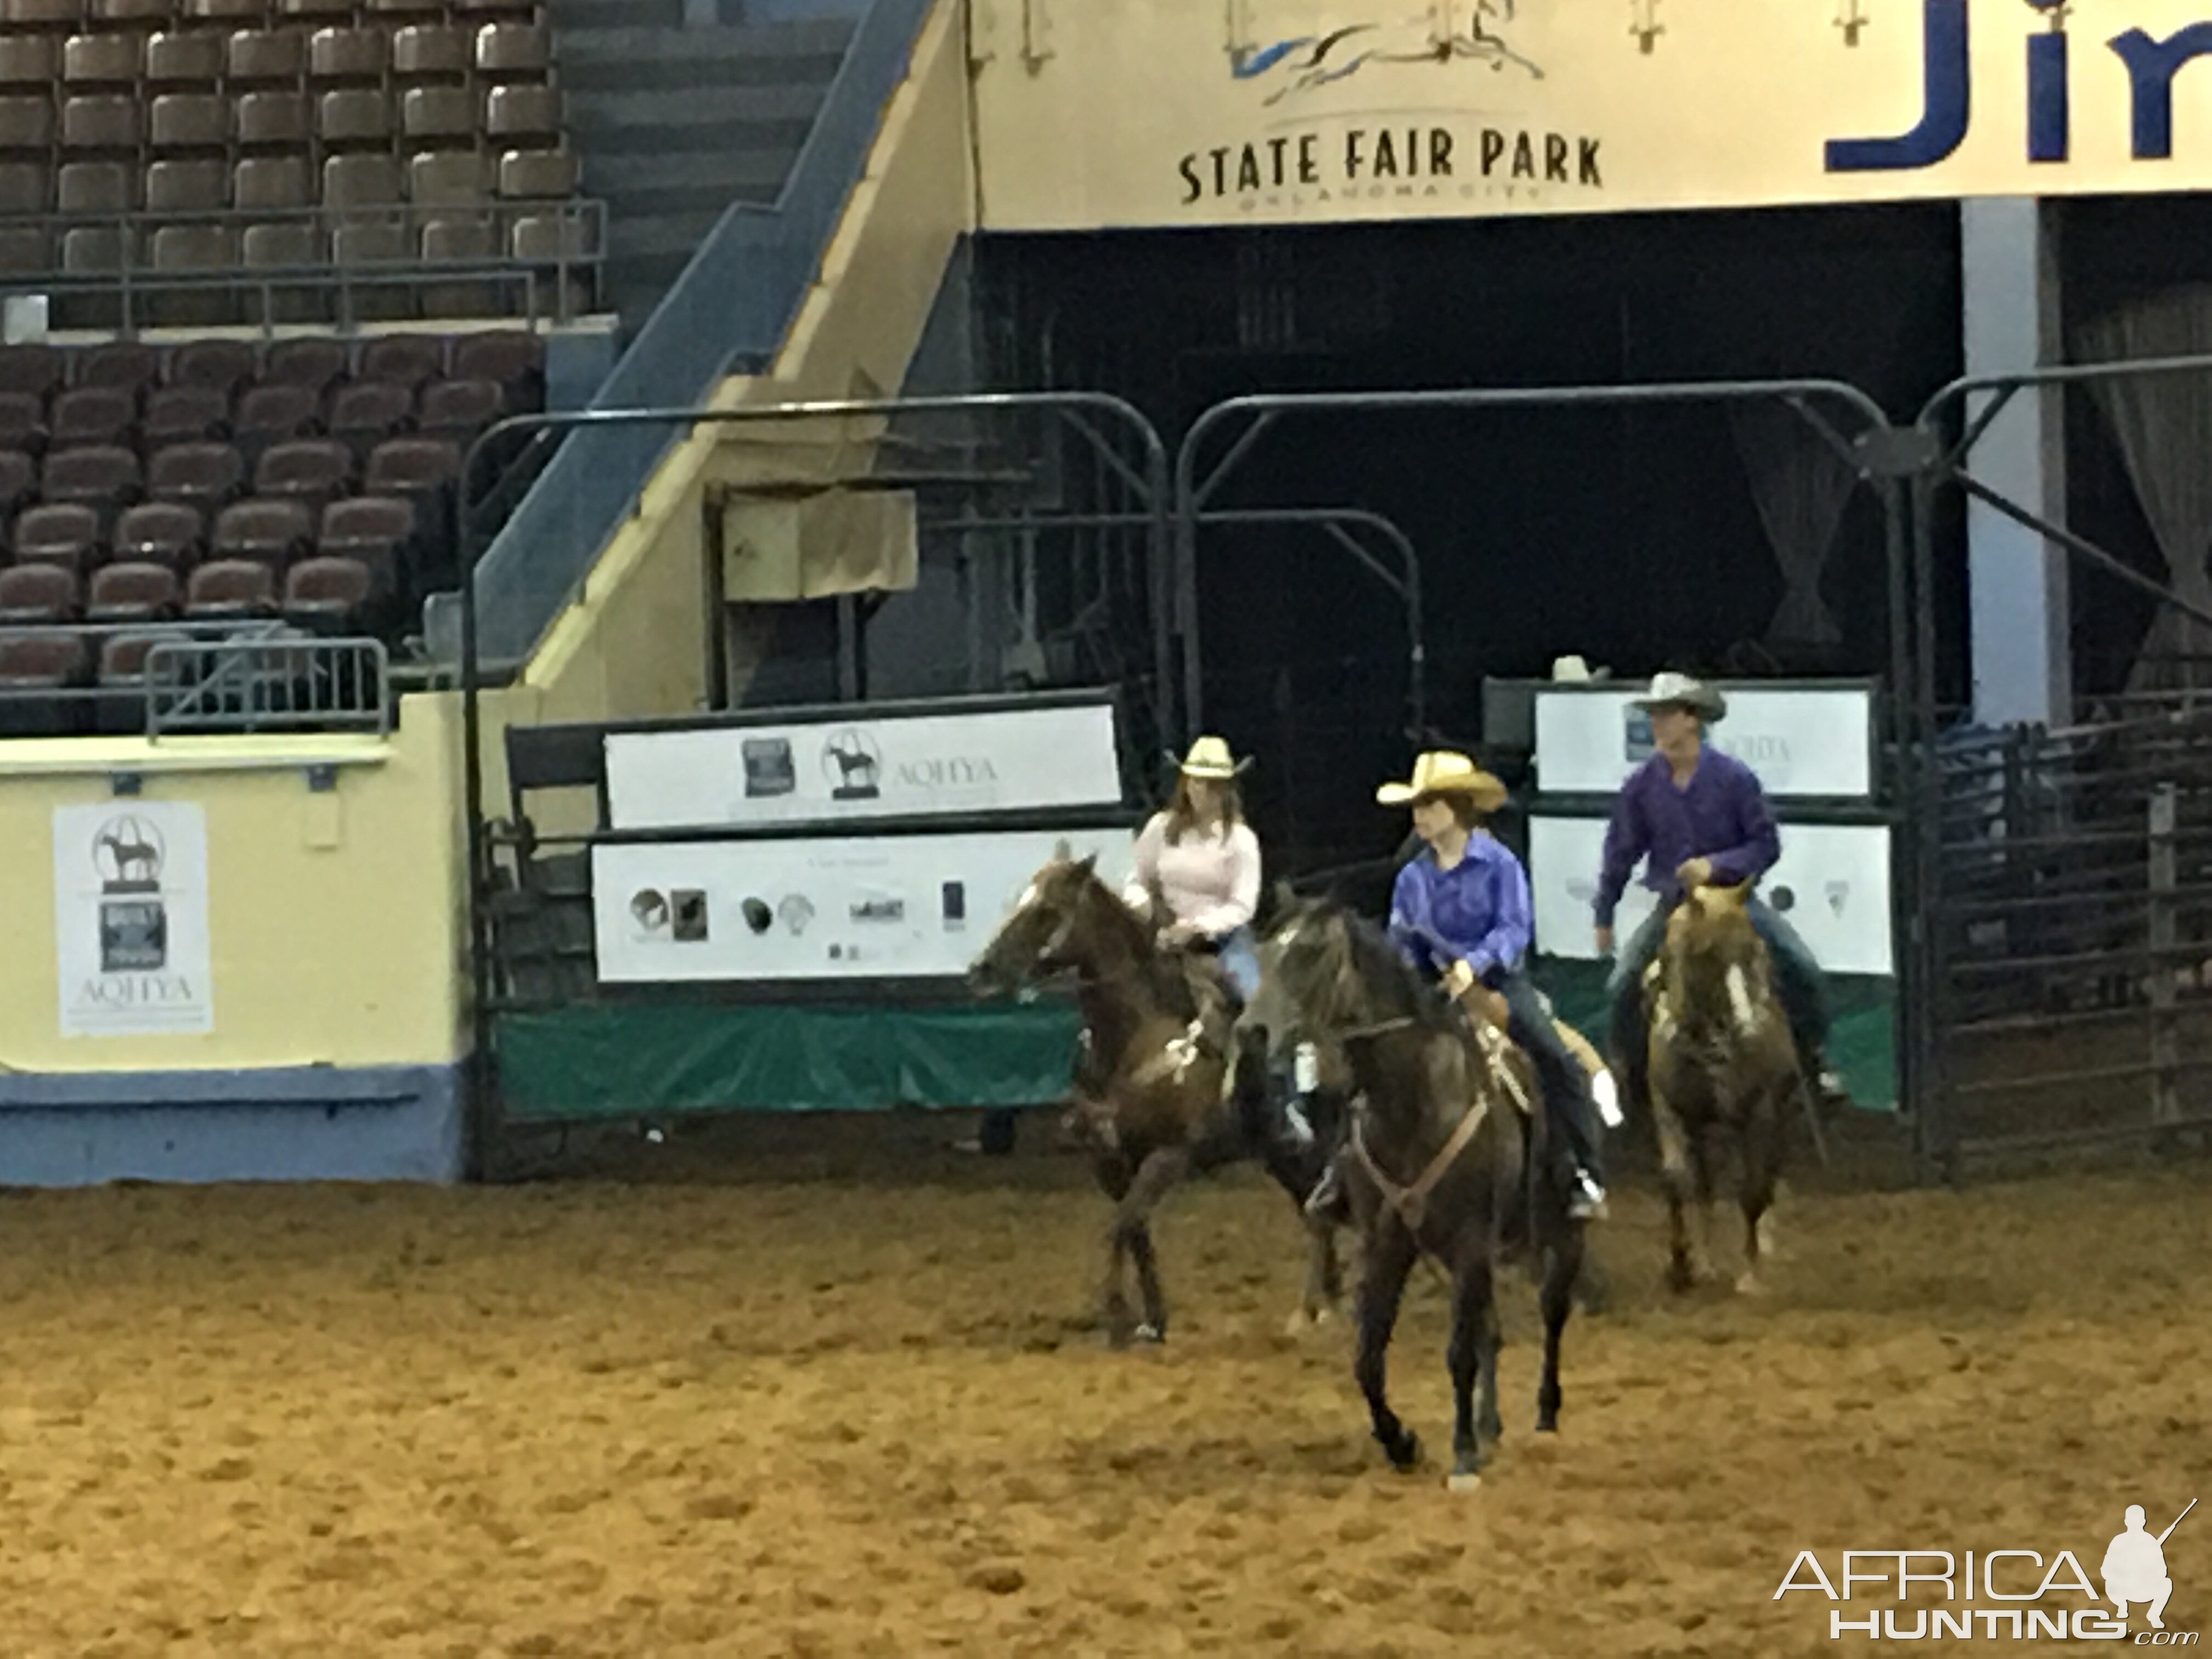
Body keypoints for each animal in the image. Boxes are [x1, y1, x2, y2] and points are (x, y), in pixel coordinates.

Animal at [969, 858, 1345, 1353]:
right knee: (1314, 1209)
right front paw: (1152, 1320)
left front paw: (1117, 1315)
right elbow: (1135, 1231)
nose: (982, 970)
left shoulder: (1170, 1157)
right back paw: (1329, 1302)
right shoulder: (1111, 1162)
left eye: (1047, 911)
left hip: (1312, 1146)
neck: (1140, 1037)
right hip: (1278, 1155)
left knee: (1322, 1212)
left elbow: (1124, 1223)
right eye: (1020, 900)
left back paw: (1321, 1311)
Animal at [1248, 898, 1593, 1495]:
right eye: (1265, 951)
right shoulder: (1387, 1240)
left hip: (1560, 1234)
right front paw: (1402, 1443)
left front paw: (1462, 1458)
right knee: (1491, 1330)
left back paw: (1544, 1418)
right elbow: (1368, 1356)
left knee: (1552, 1313)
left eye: (1311, 953)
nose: (1250, 1031)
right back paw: (1490, 1426)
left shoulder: (1471, 1241)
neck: (1413, 1098)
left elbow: (1458, 1355)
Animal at [1654, 884, 1805, 1300]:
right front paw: (1682, 1266)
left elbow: (1753, 1191)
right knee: (1705, 1184)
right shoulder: (1672, 1110)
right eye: (1707, 953)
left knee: (1766, 1177)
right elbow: (1678, 1179)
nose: (1749, 1027)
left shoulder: (1760, 1112)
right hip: (1709, 1127)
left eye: (1754, 949)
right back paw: (1706, 1261)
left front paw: (1750, 1275)